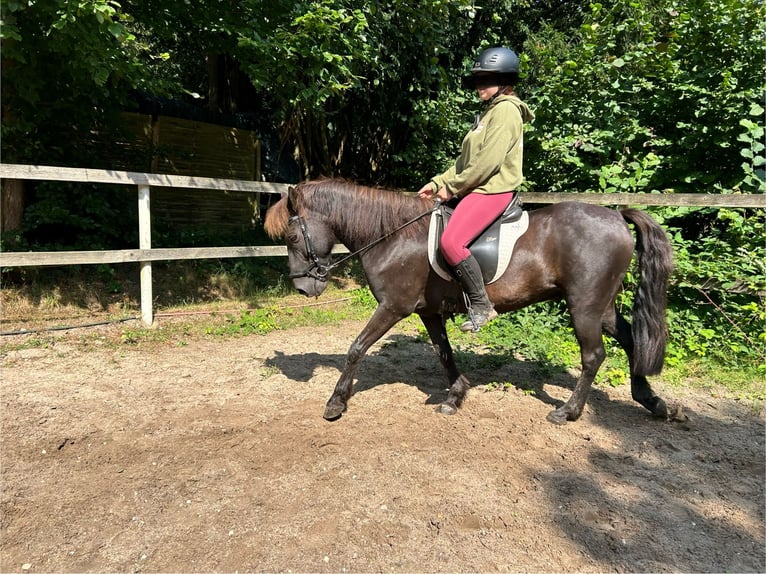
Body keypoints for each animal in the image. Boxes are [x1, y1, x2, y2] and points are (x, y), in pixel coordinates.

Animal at [264, 180, 672, 428]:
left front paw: (336, 402)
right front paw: (456, 396)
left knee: (593, 356)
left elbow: (356, 347)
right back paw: (653, 401)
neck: (392, 235)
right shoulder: (428, 312)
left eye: (291, 236)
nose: (303, 289)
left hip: (583, 305)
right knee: (631, 341)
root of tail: (617, 215)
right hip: (601, 306)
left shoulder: (393, 307)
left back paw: (568, 411)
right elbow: (443, 353)